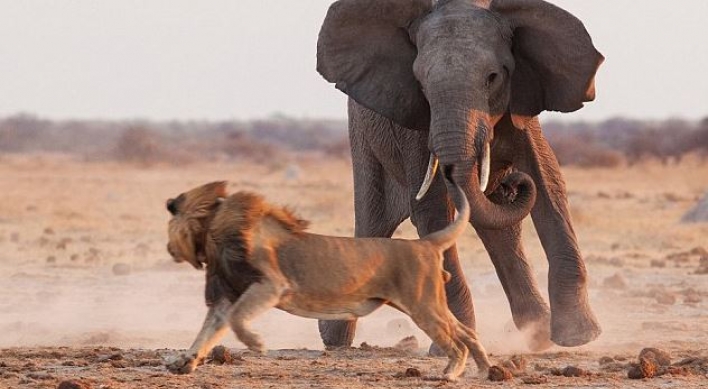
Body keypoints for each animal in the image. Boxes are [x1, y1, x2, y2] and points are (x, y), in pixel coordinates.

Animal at [165, 176, 492, 378]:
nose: (168, 248)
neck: (213, 231)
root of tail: (424, 243)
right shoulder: (227, 292)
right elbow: (209, 329)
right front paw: (185, 362)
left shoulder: (270, 284)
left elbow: (235, 319)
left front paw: (256, 344)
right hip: (427, 302)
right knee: (467, 331)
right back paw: (486, 370)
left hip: (422, 304)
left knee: (455, 340)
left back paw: (450, 373)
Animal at [316, 0, 604, 350]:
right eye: (421, 83)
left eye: (493, 77)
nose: (512, 183)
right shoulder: (417, 126)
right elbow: (432, 210)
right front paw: (457, 346)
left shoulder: (522, 107)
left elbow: (549, 183)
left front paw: (579, 337)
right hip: (362, 139)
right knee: (373, 222)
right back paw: (334, 339)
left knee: (501, 229)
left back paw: (536, 336)